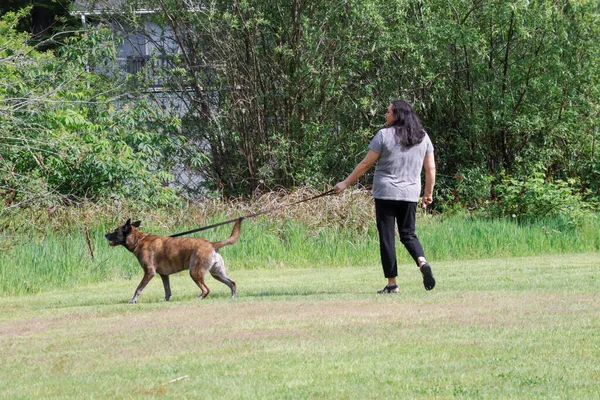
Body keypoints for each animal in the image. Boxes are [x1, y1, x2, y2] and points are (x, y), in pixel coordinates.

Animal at [105, 219, 241, 304]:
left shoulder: (149, 272)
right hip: (217, 273)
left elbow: (138, 288)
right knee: (232, 283)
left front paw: (133, 300)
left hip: (195, 272)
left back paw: (197, 299)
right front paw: (166, 300)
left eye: (115, 231)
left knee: (206, 289)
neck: (139, 240)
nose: (105, 234)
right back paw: (233, 297)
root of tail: (212, 244)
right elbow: (167, 290)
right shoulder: (164, 275)